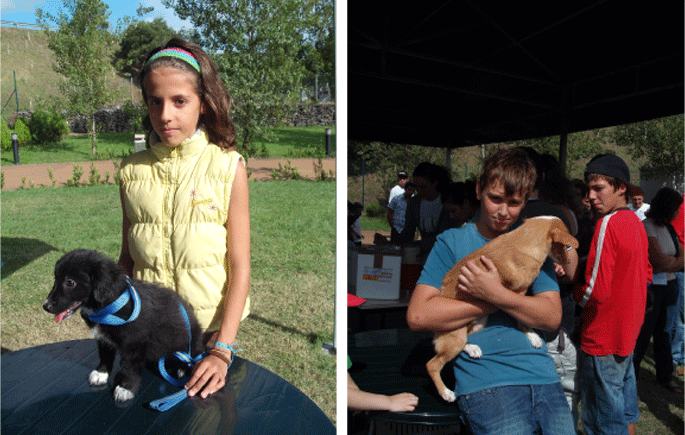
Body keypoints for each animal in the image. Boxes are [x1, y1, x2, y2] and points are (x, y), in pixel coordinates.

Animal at [43, 249, 205, 403]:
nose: (46, 306)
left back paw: (183, 368)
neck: (110, 306)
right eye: (55, 279)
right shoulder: (104, 339)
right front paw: (101, 374)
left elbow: (130, 368)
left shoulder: (134, 344)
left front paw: (125, 388)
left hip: (190, 341)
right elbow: (105, 356)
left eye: (70, 282)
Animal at [427, 216, 579, 402]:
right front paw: (533, 337)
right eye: (563, 245)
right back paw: (446, 392)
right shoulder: (518, 294)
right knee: (432, 364)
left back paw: (472, 348)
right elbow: (522, 321)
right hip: (455, 337)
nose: (569, 262)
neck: (525, 240)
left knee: (463, 340)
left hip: (477, 323)